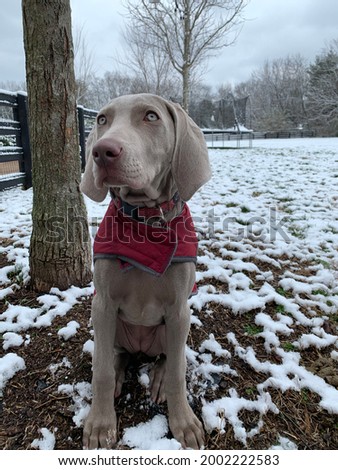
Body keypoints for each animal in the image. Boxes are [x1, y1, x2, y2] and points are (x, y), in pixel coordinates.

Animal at [80, 93, 211, 450]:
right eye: (101, 120)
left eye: (151, 116)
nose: (102, 152)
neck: (145, 224)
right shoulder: (102, 303)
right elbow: (100, 372)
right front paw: (100, 424)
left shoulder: (179, 309)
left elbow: (179, 370)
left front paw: (184, 424)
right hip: (111, 328)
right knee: (115, 356)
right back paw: (117, 373)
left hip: (172, 329)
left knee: (168, 357)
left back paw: (159, 379)